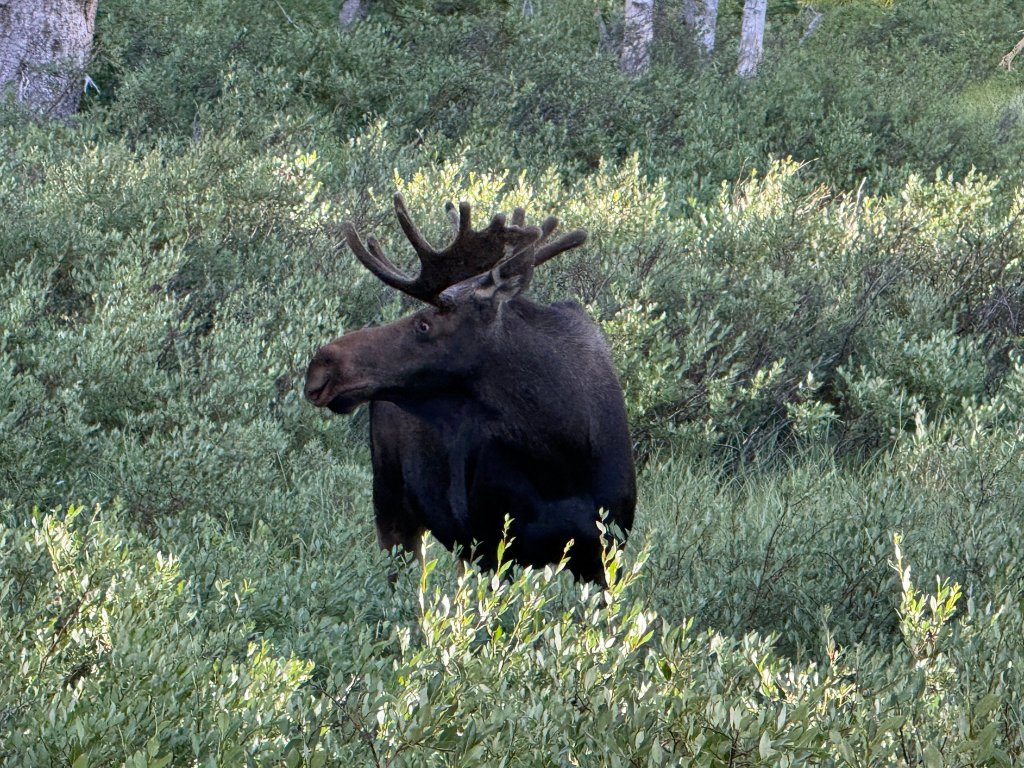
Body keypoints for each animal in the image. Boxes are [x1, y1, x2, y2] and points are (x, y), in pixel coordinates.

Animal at [304, 194, 635, 582]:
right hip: (392, 502)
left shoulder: (604, 550)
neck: (560, 447)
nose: (321, 367)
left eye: (423, 324)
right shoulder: (493, 545)